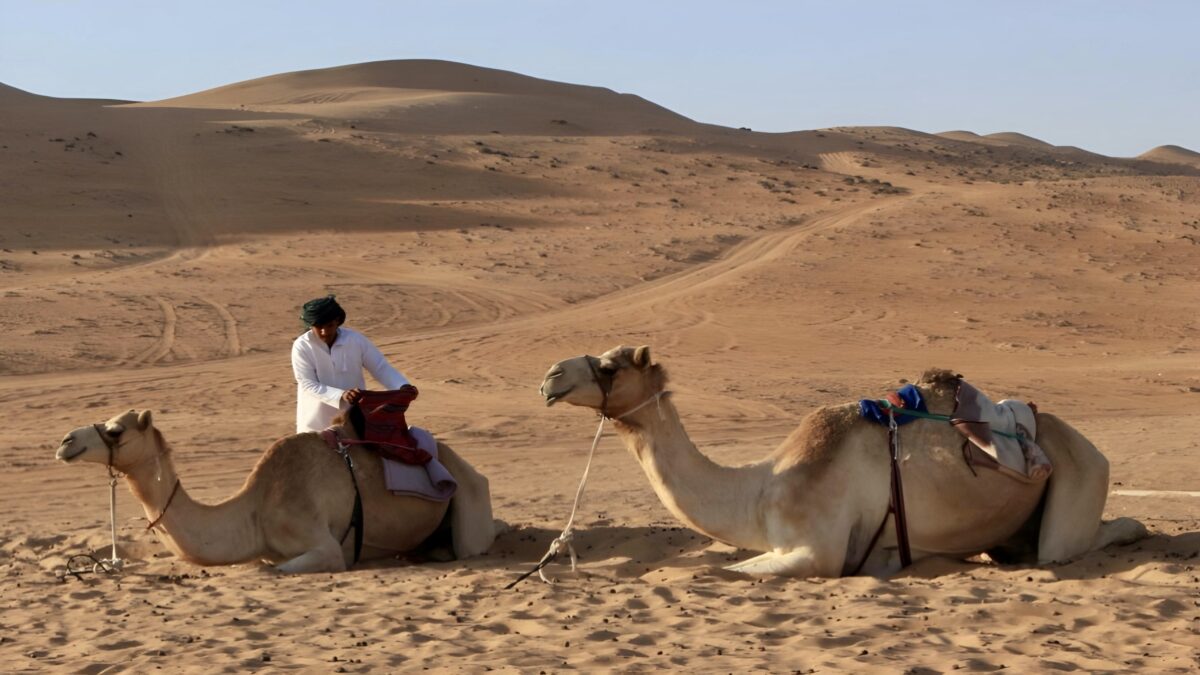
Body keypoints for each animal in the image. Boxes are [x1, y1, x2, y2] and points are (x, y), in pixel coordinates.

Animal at [55, 408, 496, 569]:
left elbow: (279, 569)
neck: (255, 511)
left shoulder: (323, 545)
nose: (65, 441)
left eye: (116, 430)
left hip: (470, 495)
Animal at [540, 345, 1147, 571]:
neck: (759, 489)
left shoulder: (817, 550)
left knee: (1071, 543)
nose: (550, 376)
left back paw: (1132, 529)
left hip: (1081, 469)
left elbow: (728, 574)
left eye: (611, 365)